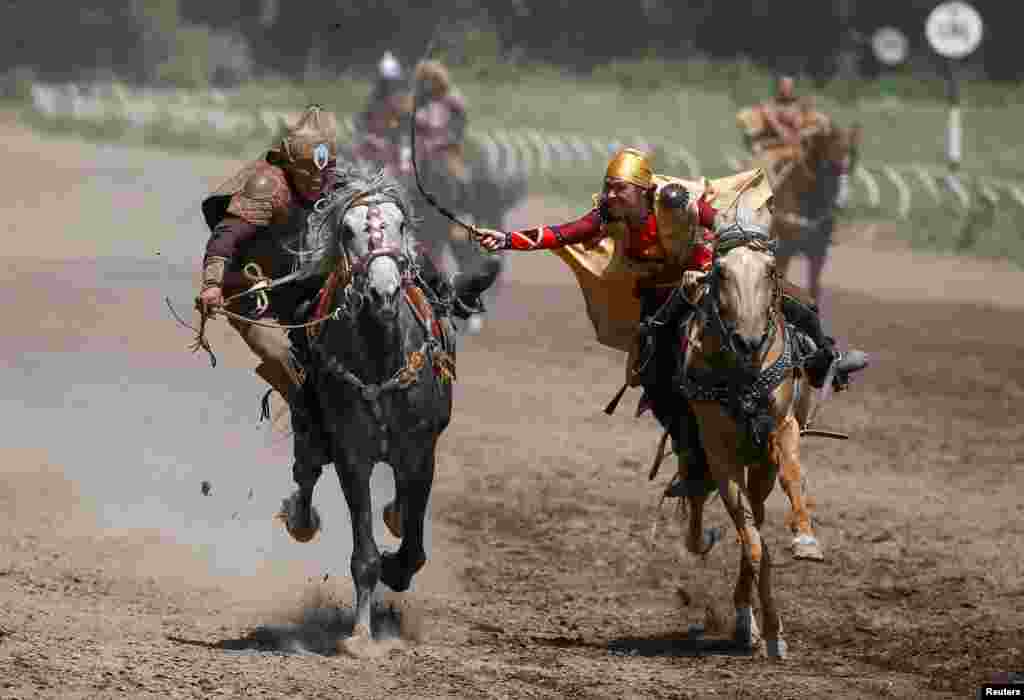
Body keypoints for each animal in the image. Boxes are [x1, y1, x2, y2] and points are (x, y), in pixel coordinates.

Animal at [278, 165, 458, 654]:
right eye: (348, 230)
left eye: (398, 225)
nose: (382, 292)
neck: (381, 358)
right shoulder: (352, 456)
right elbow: (364, 555)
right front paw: (360, 635)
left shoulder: (420, 453)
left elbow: (414, 543)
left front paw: (399, 567)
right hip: (312, 427)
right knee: (306, 469)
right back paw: (301, 518)